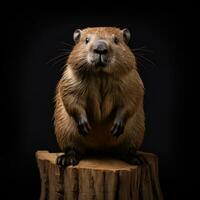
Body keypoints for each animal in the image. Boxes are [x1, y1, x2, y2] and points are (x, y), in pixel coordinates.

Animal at [54, 27, 145, 166]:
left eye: (116, 40)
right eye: (86, 40)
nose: (100, 48)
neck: (101, 76)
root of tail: (100, 150)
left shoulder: (132, 79)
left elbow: (131, 100)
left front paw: (116, 127)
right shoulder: (70, 78)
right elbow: (71, 99)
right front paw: (85, 126)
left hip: (135, 133)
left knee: (127, 150)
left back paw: (137, 159)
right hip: (63, 130)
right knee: (72, 149)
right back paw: (66, 160)